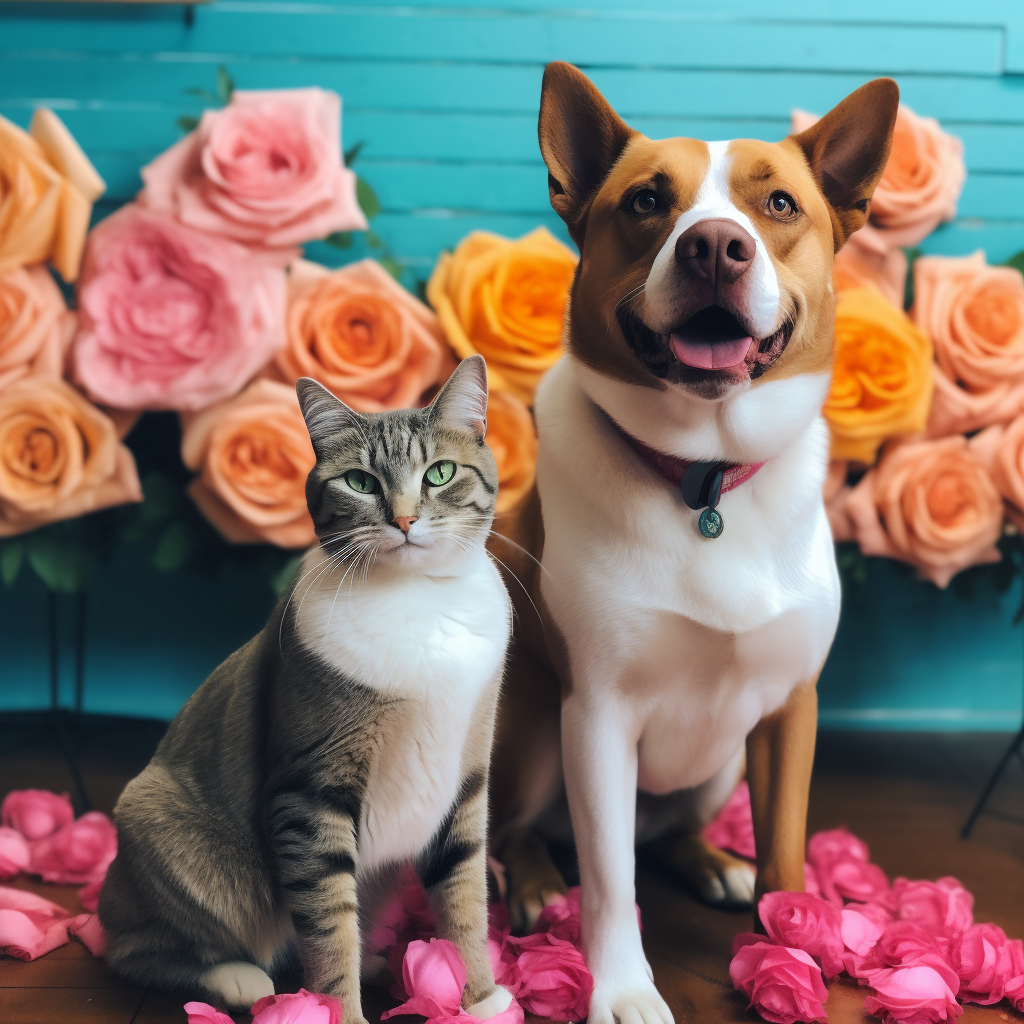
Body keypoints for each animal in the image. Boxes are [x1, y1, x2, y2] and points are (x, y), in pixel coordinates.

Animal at [97, 354, 512, 1024]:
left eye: (440, 473)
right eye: (361, 482)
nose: (403, 519)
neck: (416, 597)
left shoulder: (467, 780)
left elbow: (465, 891)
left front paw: (479, 995)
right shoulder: (312, 791)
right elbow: (327, 920)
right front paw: (337, 1010)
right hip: (159, 828)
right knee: (138, 947)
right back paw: (236, 977)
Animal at [487, 61, 897, 1024]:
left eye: (779, 204)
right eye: (646, 200)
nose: (714, 246)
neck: (704, 475)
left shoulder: (790, 709)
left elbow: (785, 847)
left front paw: (788, 946)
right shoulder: (596, 716)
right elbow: (607, 876)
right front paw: (622, 988)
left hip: (716, 767)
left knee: (670, 829)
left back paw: (712, 862)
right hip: (531, 733)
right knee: (526, 831)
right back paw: (533, 884)